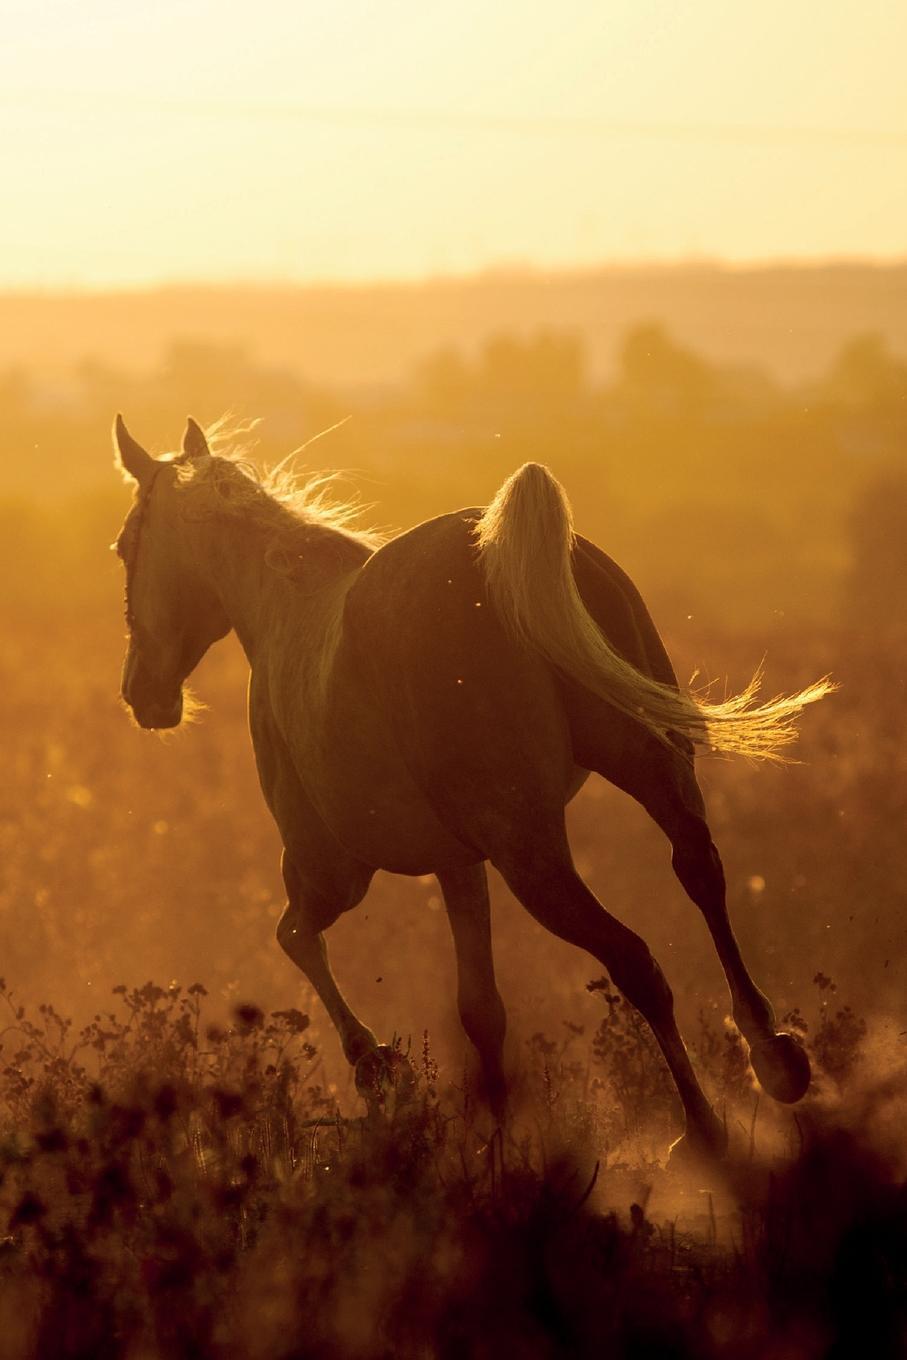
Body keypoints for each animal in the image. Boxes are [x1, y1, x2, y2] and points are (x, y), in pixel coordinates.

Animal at [110, 413, 832, 1158]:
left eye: (123, 546)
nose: (143, 694)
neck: (282, 605)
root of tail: (502, 564)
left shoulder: (331, 870)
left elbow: (294, 938)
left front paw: (377, 1066)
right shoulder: (458, 862)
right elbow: (480, 1008)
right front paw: (496, 1145)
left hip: (527, 850)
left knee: (633, 958)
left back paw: (701, 1131)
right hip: (652, 768)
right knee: (700, 872)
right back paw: (776, 1058)